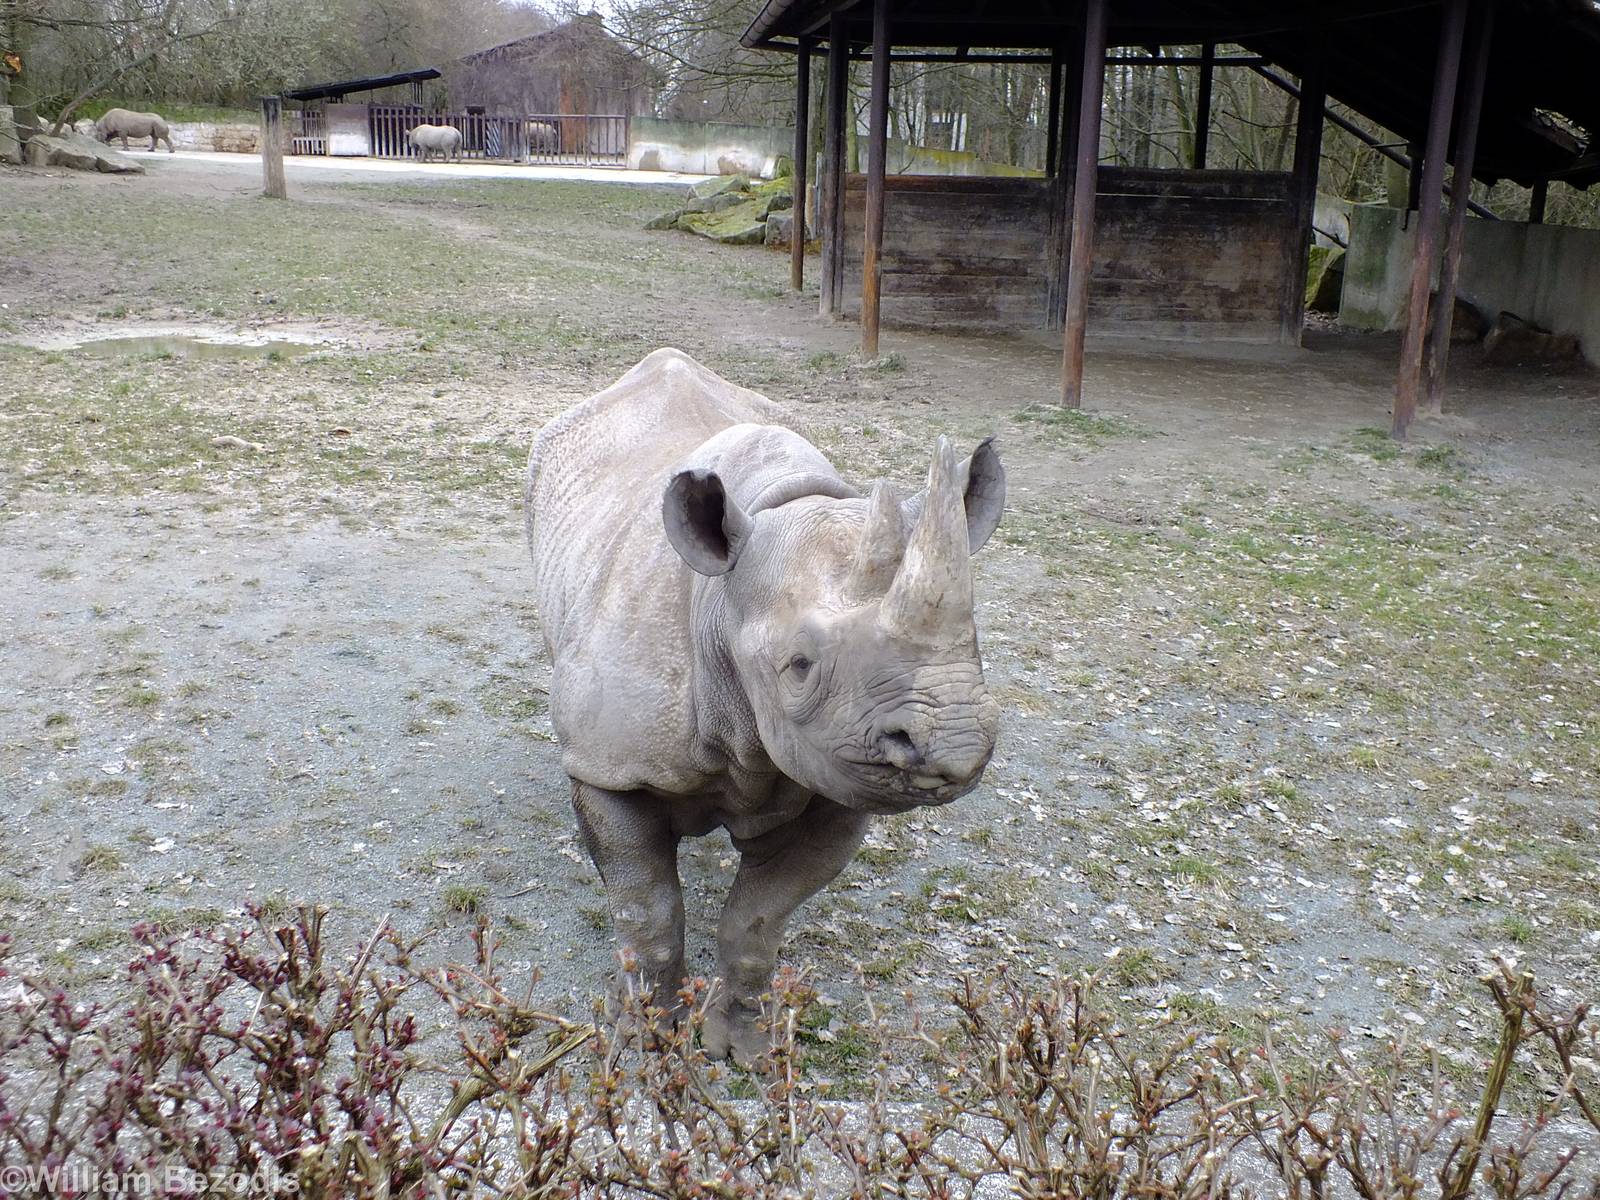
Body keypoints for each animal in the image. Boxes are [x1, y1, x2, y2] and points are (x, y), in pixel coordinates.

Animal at [525, 348, 1004, 1062]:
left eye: (976, 643)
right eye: (798, 666)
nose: (956, 746)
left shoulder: (838, 782)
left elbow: (757, 919)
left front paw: (743, 1045)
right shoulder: (609, 763)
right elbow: (647, 907)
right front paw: (647, 1034)